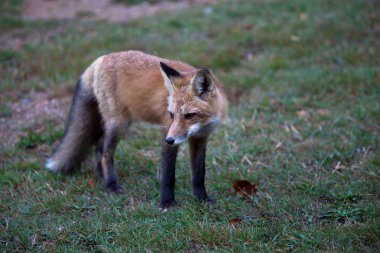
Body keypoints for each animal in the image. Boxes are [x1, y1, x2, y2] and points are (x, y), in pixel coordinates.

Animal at [45, 50, 227, 209]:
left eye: (189, 115)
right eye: (171, 114)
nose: (170, 140)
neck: (203, 124)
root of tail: (101, 59)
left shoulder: (201, 138)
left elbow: (199, 174)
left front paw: (202, 199)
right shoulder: (167, 131)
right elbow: (168, 175)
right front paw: (167, 204)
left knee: (99, 146)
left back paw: (101, 176)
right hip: (118, 124)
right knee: (106, 153)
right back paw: (110, 185)